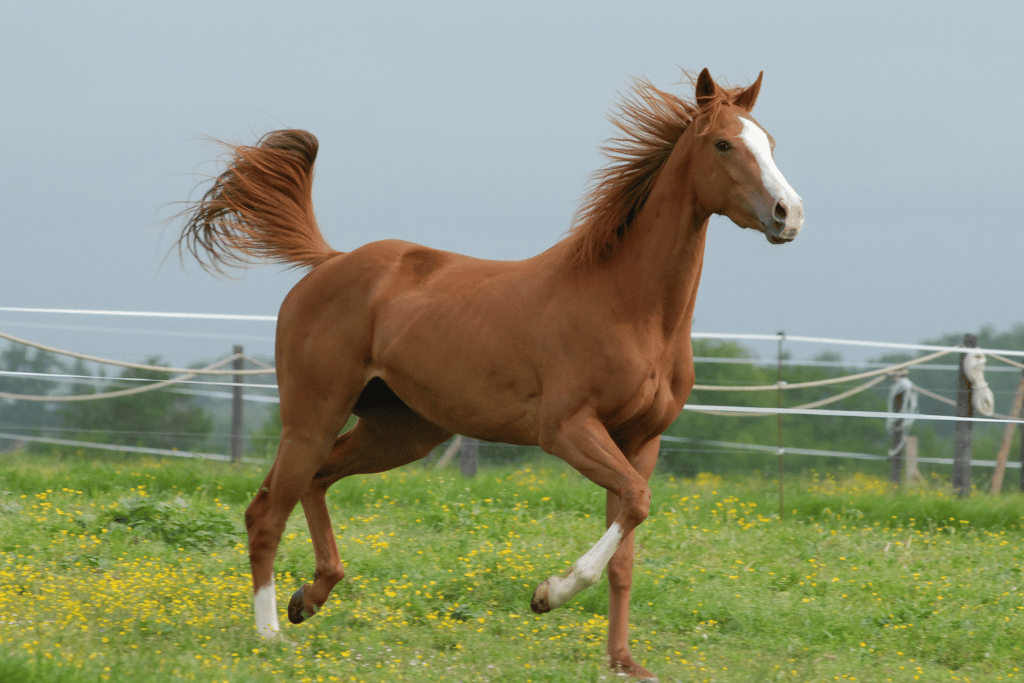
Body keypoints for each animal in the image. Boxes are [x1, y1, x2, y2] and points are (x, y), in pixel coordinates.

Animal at [178, 67, 803, 681]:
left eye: (770, 142)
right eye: (723, 144)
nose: (789, 214)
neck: (630, 308)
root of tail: (329, 262)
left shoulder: (640, 440)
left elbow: (627, 542)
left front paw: (624, 662)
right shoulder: (567, 430)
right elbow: (635, 503)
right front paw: (548, 594)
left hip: (399, 432)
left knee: (314, 483)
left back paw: (309, 598)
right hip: (313, 416)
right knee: (267, 511)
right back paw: (270, 634)